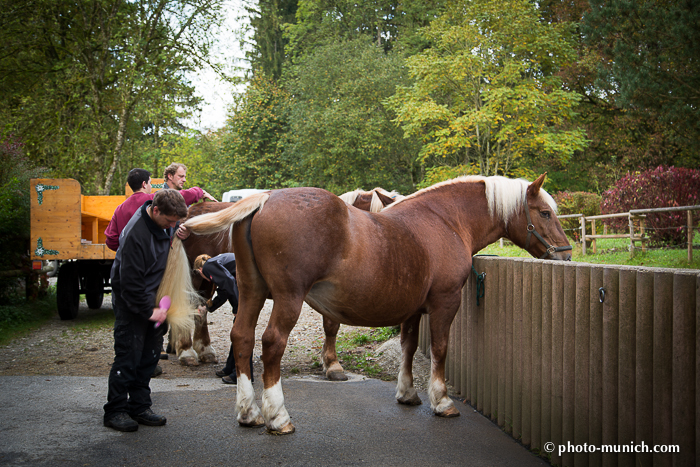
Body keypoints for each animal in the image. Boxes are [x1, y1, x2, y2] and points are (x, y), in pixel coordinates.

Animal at [157, 175, 568, 436]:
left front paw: (407, 393)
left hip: (252, 292)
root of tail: (264, 199)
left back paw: (248, 412)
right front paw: (441, 400)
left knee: (241, 338)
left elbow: (407, 347)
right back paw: (277, 416)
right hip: (286, 298)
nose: (566, 254)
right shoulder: (444, 302)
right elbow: (439, 349)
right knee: (270, 343)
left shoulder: (412, 309)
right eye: (545, 213)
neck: (444, 222)